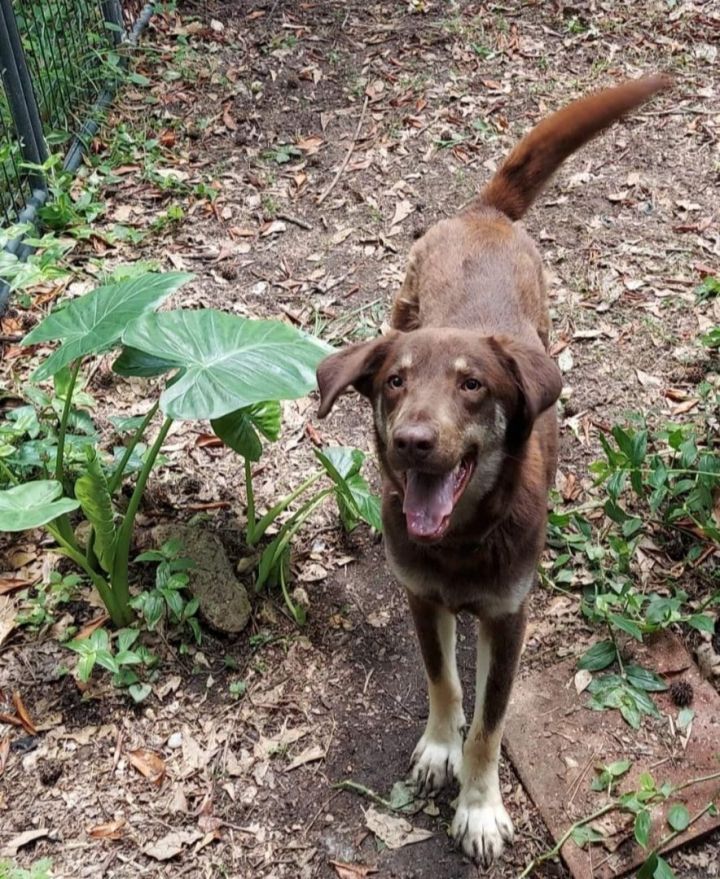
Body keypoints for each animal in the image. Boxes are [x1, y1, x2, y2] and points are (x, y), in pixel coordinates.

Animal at [316, 77, 668, 868]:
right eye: (395, 382)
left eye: (473, 384)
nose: (413, 442)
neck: (462, 541)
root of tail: (483, 212)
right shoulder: (422, 596)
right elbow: (445, 683)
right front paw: (438, 747)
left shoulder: (509, 619)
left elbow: (490, 722)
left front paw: (478, 807)